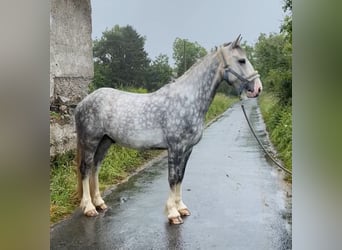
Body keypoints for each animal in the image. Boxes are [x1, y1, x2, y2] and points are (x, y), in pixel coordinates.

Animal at [74, 35, 262, 225]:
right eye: (241, 60)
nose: (257, 88)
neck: (187, 100)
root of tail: (83, 102)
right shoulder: (175, 148)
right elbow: (172, 178)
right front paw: (173, 213)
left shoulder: (187, 149)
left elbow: (180, 177)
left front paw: (181, 208)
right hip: (90, 141)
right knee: (85, 169)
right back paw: (89, 208)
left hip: (105, 141)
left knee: (95, 168)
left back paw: (100, 203)